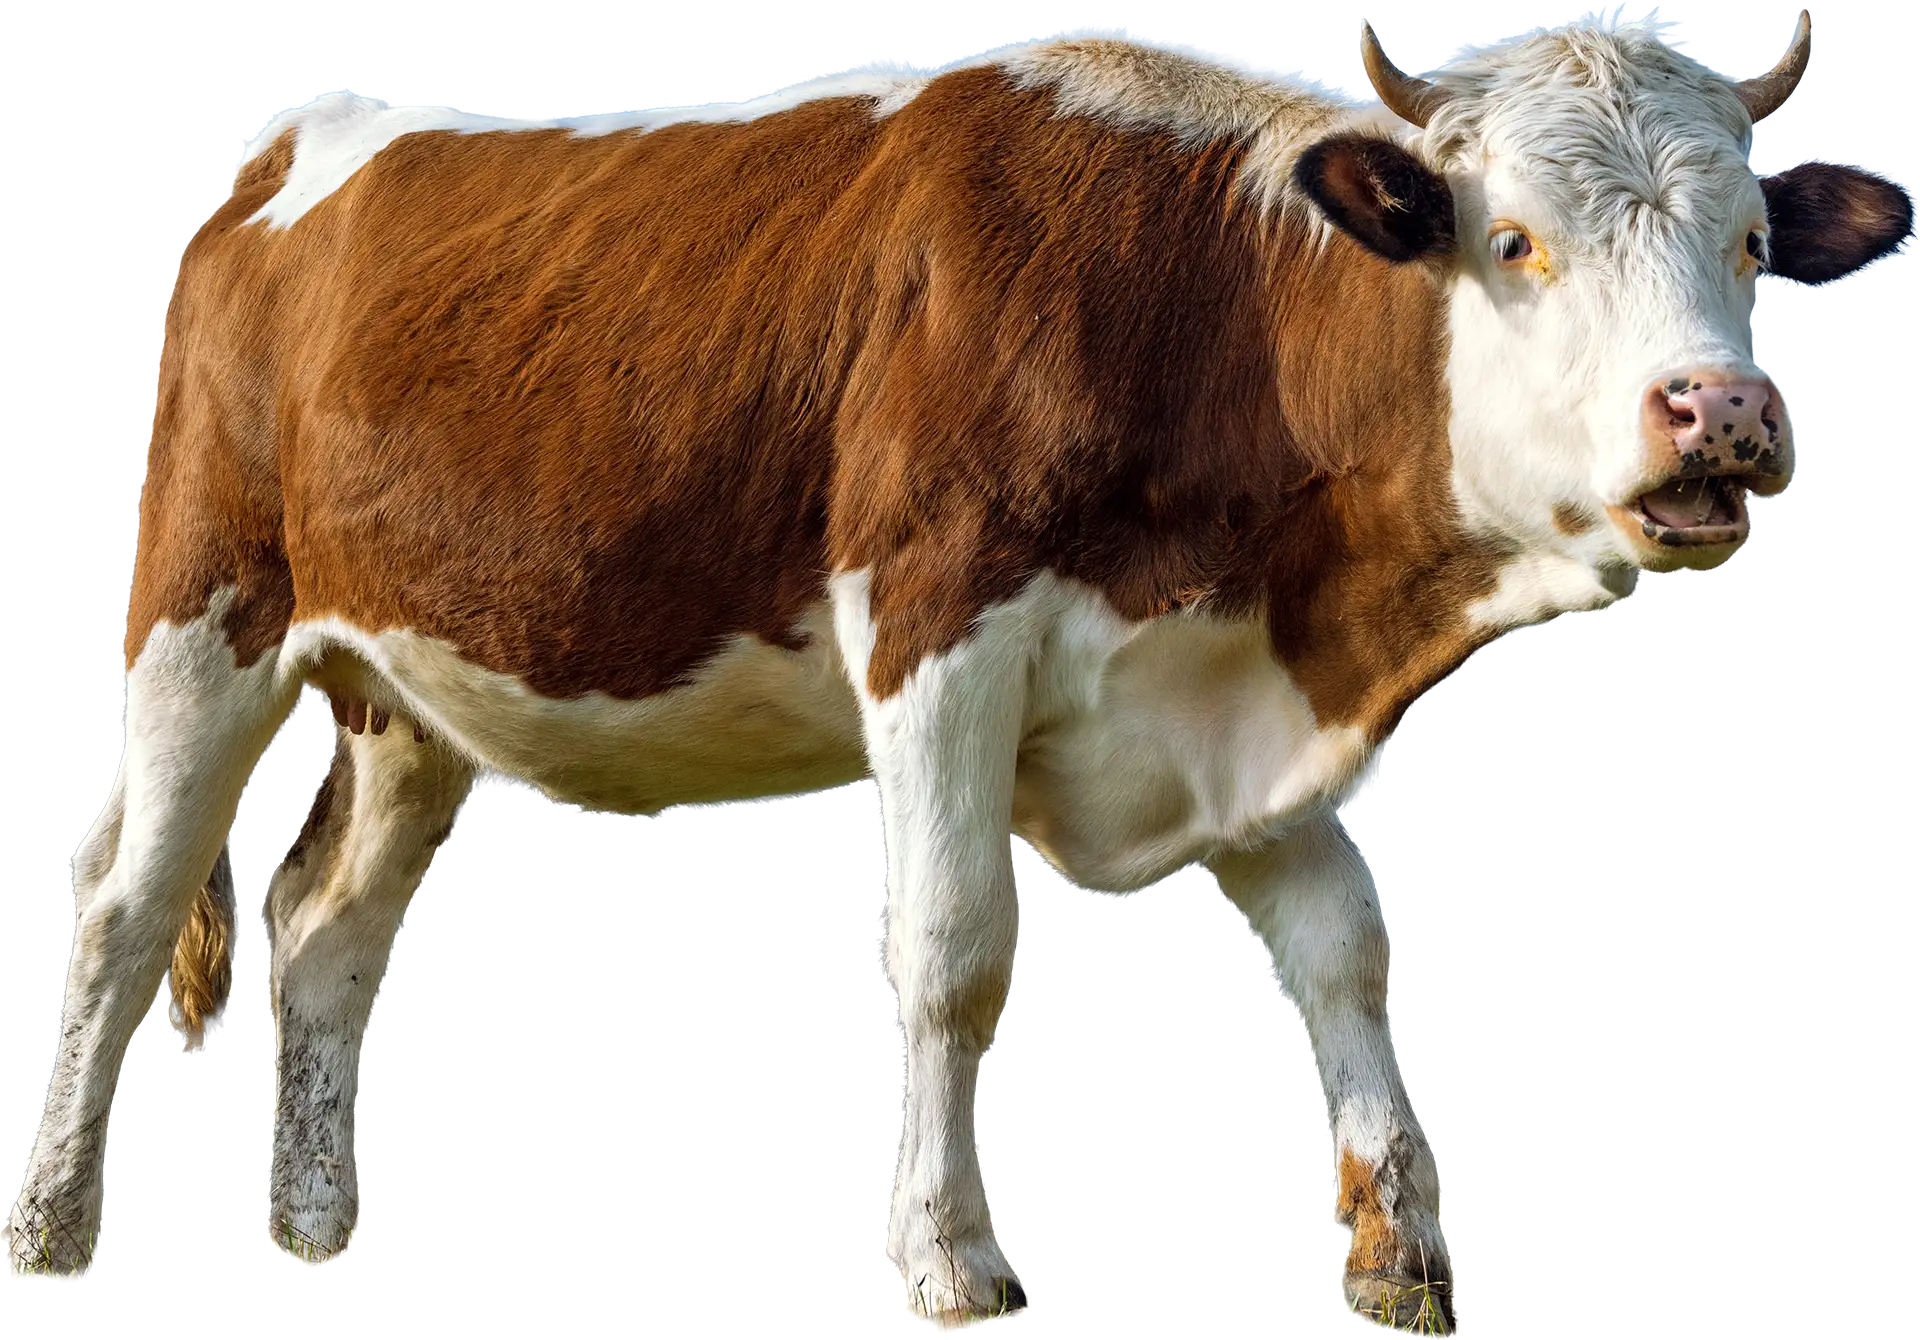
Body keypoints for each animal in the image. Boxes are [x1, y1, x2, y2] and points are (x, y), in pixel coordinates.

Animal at [4, 11, 1910, 1334]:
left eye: (1750, 244)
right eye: (1513, 240)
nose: (1721, 414)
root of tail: (290, 151)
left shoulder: (1224, 695)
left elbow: (1343, 948)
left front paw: (1403, 1253)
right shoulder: (936, 627)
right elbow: (952, 955)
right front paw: (952, 1259)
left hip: (413, 678)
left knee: (328, 921)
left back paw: (321, 1237)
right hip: (204, 601)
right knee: (125, 896)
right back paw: (54, 1231)